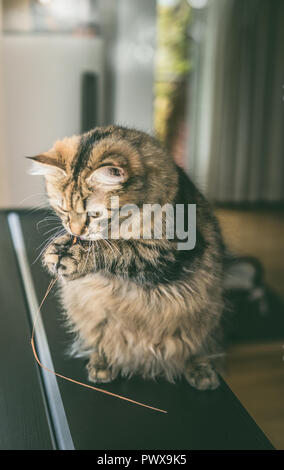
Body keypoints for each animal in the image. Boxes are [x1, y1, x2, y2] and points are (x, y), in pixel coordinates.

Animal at [28, 124, 224, 390]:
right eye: (63, 209)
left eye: (95, 214)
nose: (76, 231)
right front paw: (60, 249)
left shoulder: (166, 253)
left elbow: (118, 251)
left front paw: (74, 256)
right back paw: (102, 365)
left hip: (204, 319)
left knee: (197, 348)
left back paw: (201, 373)